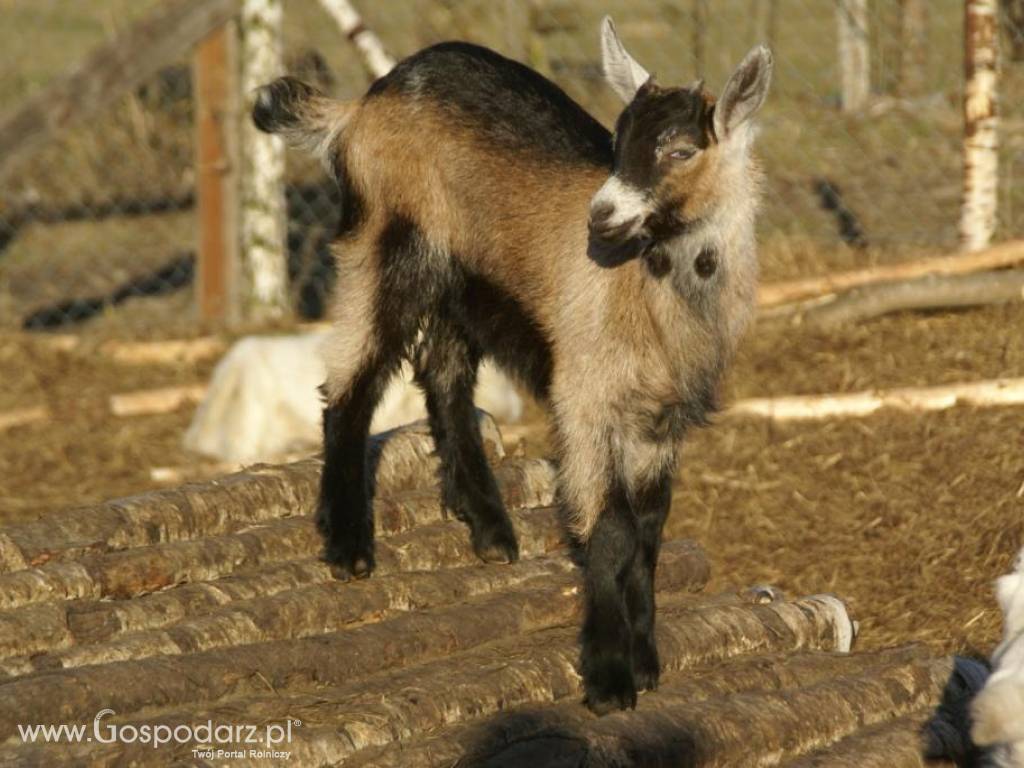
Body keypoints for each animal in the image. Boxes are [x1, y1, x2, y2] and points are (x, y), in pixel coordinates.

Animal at [251, 18, 770, 716]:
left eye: (681, 151)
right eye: (617, 141)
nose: (601, 217)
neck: (648, 288)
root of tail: (362, 104)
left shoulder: (661, 419)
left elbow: (649, 532)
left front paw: (645, 659)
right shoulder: (585, 396)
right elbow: (612, 530)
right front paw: (609, 678)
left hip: (463, 282)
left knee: (441, 375)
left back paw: (490, 529)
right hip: (389, 246)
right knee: (351, 380)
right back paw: (349, 546)